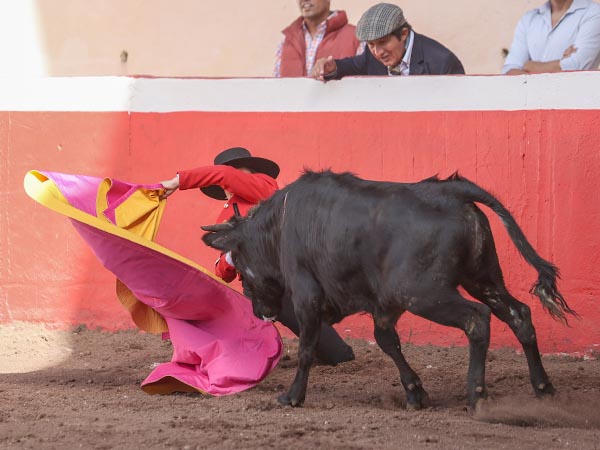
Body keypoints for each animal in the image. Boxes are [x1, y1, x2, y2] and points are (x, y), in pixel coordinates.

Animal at [202, 171, 576, 410]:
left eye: (241, 268)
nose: (259, 312)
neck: (280, 225)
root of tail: (450, 193)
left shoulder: (307, 294)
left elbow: (308, 345)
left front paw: (292, 396)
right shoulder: (384, 305)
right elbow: (387, 342)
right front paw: (415, 394)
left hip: (425, 293)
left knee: (477, 319)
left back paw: (477, 395)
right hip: (483, 278)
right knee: (519, 314)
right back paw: (543, 388)